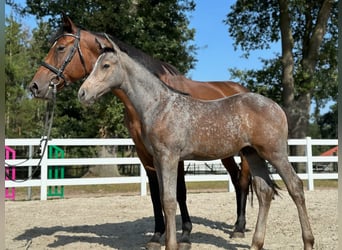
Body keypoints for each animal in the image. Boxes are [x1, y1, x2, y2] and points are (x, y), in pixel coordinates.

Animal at [28, 15, 251, 248]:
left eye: (61, 47)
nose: (35, 86)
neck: (151, 97)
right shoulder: (145, 152)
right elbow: (155, 193)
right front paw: (157, 235)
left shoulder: (174, 155)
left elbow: (179, 192)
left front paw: (185, 234)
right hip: (225, 152)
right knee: (236, 179)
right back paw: (237, 225)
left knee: (243, 181)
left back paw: (239, 227)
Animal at [79, 40, 314, 249]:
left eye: (106, 65)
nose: (82, 93)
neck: (159, 105)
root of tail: (276, 107)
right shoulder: (157, 159)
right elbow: (164, 200)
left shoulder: (169, 158)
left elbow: (170, 200)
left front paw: (173, 245)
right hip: (252, 154)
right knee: (265, 192)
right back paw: (256, 244)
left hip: (275, 153)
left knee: (295, 187)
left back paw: (308, 242)